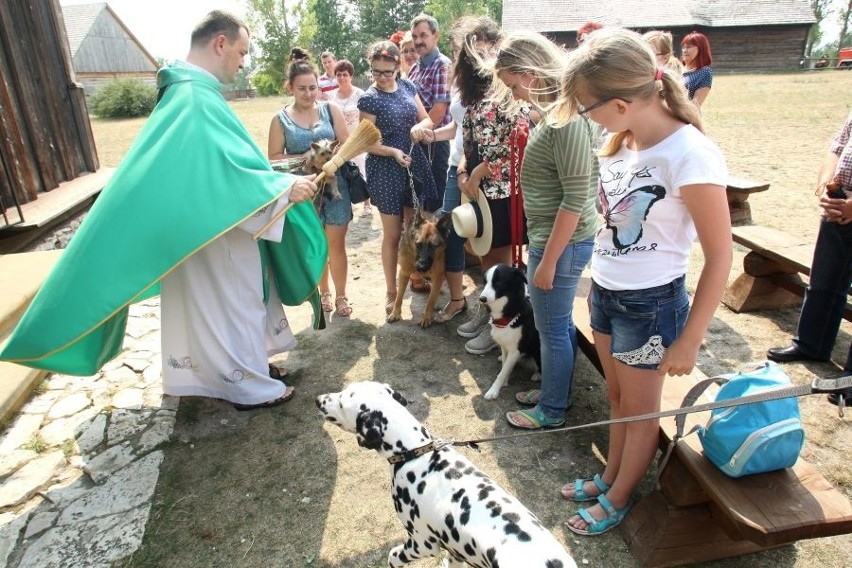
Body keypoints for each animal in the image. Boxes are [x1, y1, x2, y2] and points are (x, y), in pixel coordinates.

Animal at [316, 382, 576, 568]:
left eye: (341, 401)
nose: (318, 400)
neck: (416, 452)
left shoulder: (421, 543)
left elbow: (393, 555)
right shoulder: (455, 550)